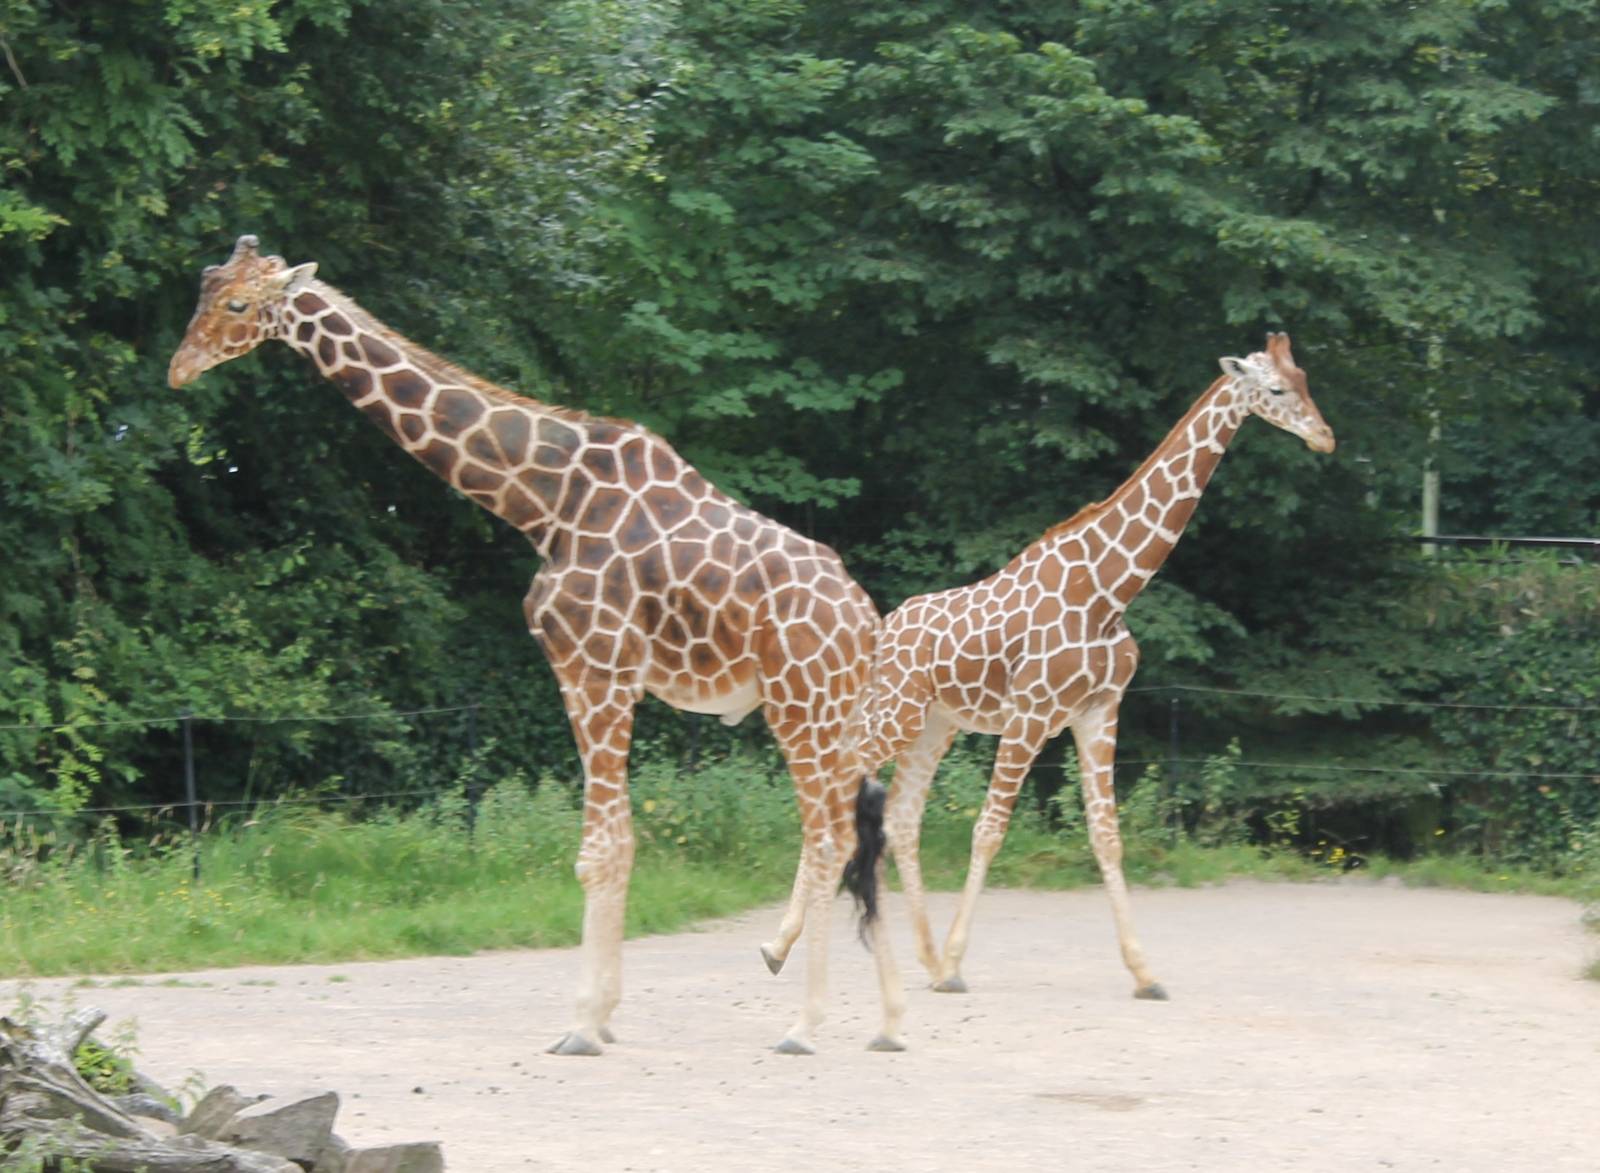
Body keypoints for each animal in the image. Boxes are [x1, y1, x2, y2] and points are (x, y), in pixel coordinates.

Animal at [167, 235, 906, 1056]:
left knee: (830, 837)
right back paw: (883, 1018)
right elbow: (619, 843)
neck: (542, 503)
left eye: (238, 304)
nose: (178, 368)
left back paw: (803, 1022)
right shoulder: (592, 673)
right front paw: (603, 1014)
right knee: (858, 834)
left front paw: (582, 1024)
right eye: (203, 288)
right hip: (832, 713)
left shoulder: (596, 667)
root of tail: (864, 618)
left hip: (799, 704)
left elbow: (602, 849)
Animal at [866, 334, 1333, 997]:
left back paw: (920, 960)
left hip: (935, 724)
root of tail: (885, 628)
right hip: (895, 714)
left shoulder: (1098, 713)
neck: (1109, 592)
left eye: (1307, 380)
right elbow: (989, 830)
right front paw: (957, 963)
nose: (1325, 436)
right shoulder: (1030, 715)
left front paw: (1144, 972)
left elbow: (1108, 838)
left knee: (901, 818)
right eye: (1275, 389)